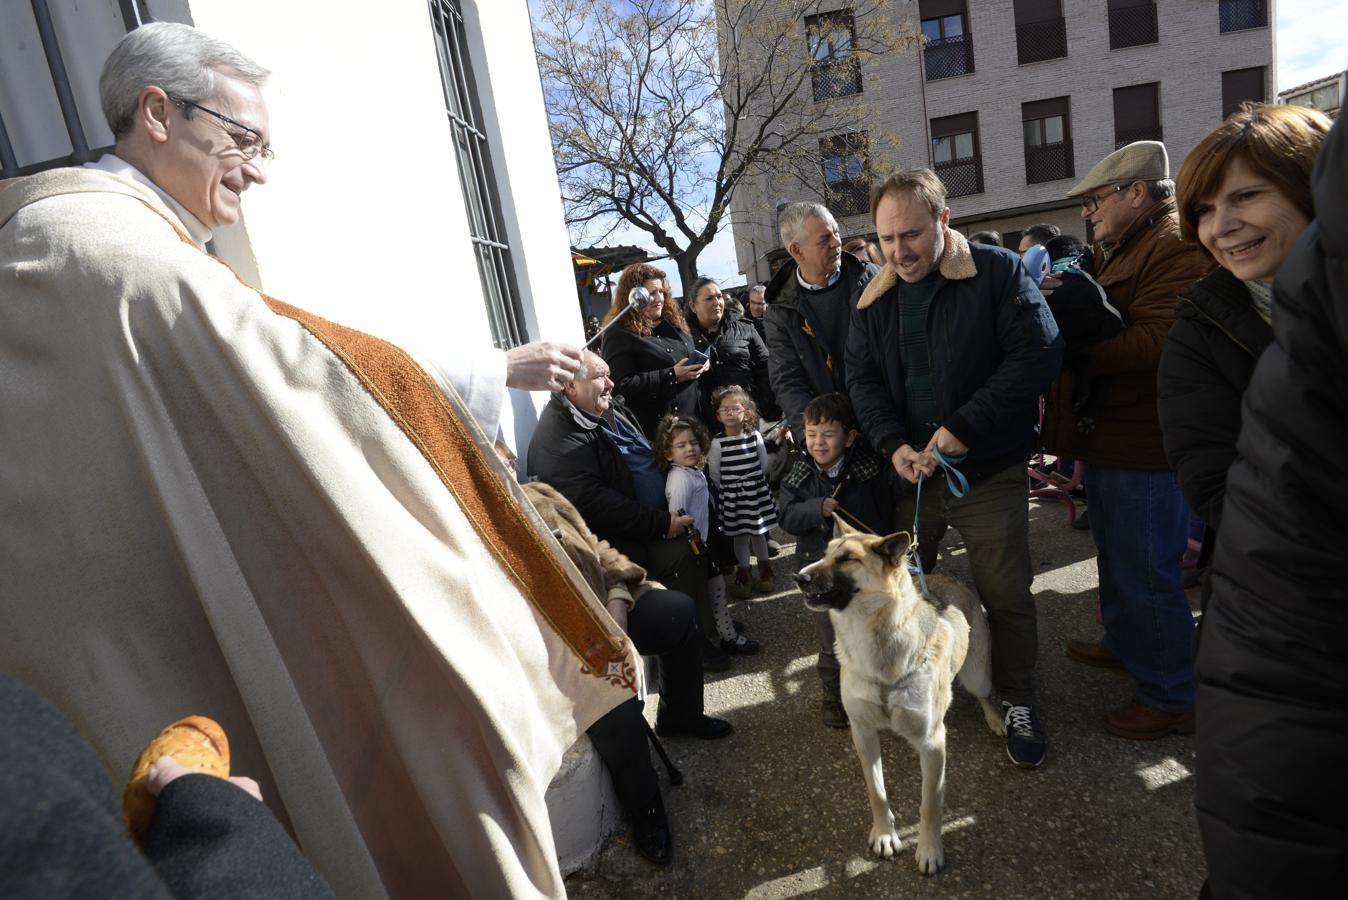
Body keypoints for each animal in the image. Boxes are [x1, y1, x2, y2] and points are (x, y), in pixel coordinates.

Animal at [792, 520, 1008, 873]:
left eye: (847, 559)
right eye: (824, 553)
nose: (799, 577)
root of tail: (946, 579)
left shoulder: (933, 744)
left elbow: (930, 804)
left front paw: (930, 849)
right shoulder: (863, 733)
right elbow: (877, 791)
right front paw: (884, 834)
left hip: (976, 675)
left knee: (984, 694)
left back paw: (995, 719)